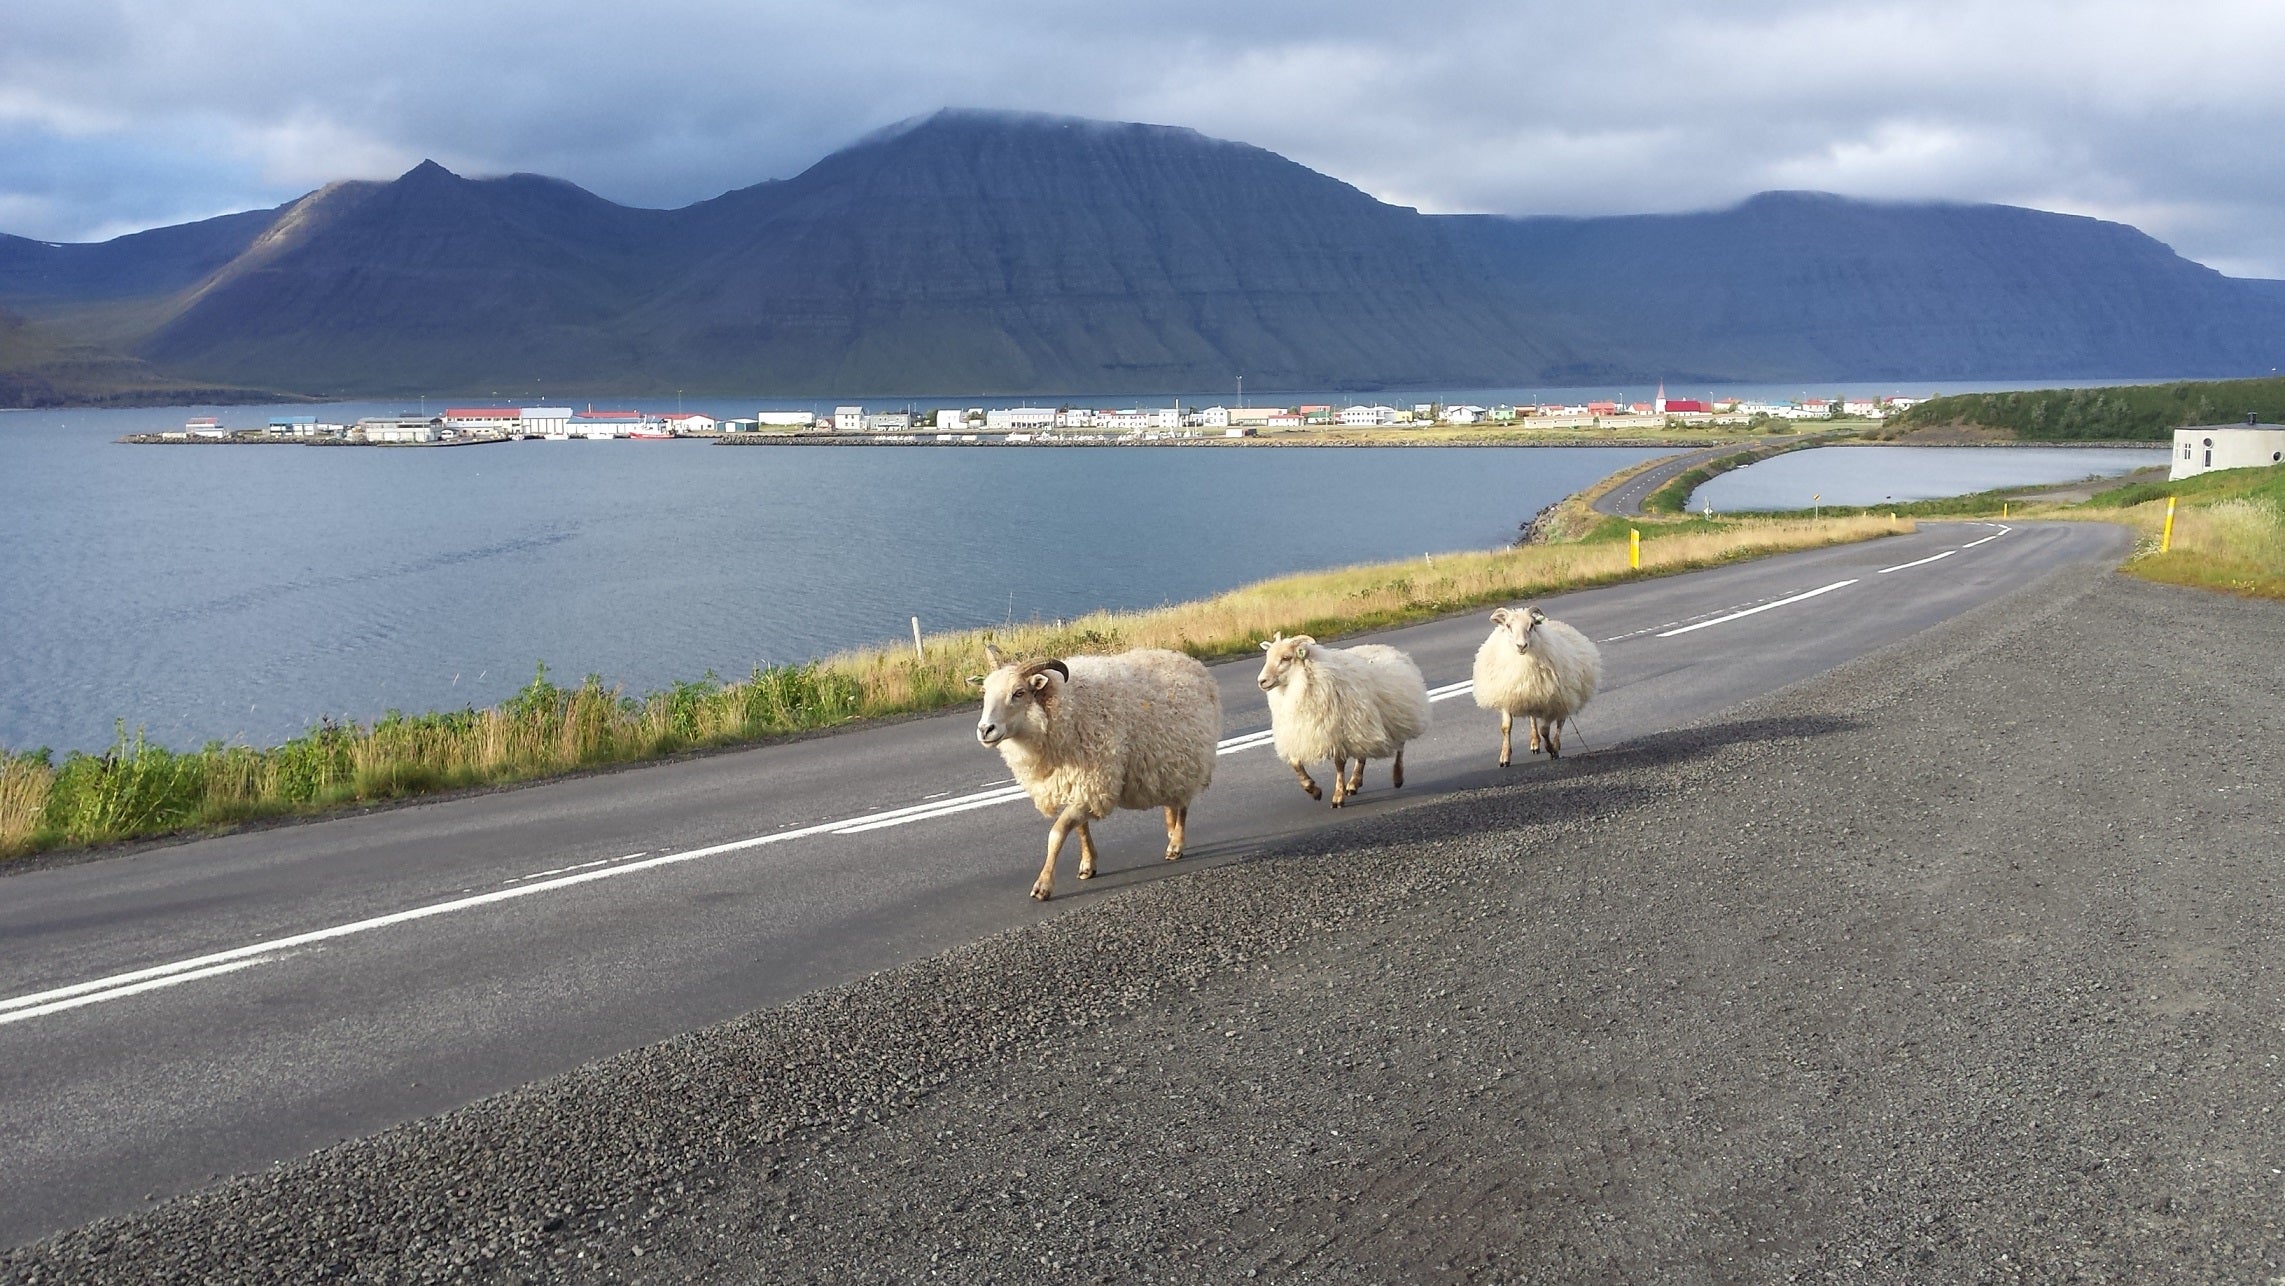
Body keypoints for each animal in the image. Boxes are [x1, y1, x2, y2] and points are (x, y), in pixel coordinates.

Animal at [970, 643, 1221, 901]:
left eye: (1019, 692)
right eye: (985, 692)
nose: (985, 730)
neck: (1065, 709)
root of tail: (1188, 660)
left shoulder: (1093, 782)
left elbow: (1057, 833)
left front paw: (1043, 885)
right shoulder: (1076, 784)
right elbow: (1080, 828)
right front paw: (1088, 864)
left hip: (1191, 758)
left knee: (1182, 805)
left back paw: (1176, 844)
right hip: (1166, 764)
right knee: (1171, 803)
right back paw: (1171, 835)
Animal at [1254, 633, 1431, 807]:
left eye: (1286, 658)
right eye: (1268, 657)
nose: (1261, 681)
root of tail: (1387, 648)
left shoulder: (1338, 733)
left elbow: (1339, 765)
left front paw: (1338, 796)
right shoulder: (1299, 734)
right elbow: (1296, 763)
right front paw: (1313, 790)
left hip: (1394, 717)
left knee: (1400, 747)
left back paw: (1397, 777)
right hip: (1364, 724)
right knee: (1363, 755)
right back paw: (1354, 783)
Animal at [1471, 605, 1601, 765]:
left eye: (1531, 625)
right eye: (1508, 626)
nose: (1521, 646)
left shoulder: (1550, 701)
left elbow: (1545, 730)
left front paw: (1552, 749)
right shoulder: (1508, 695)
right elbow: (1506, 727)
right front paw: (1505, 756)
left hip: (1565, 696)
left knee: (1560, 722)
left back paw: (1556, 744)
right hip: (1533, 694)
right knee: (1533, 718)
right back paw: (1534, 742)